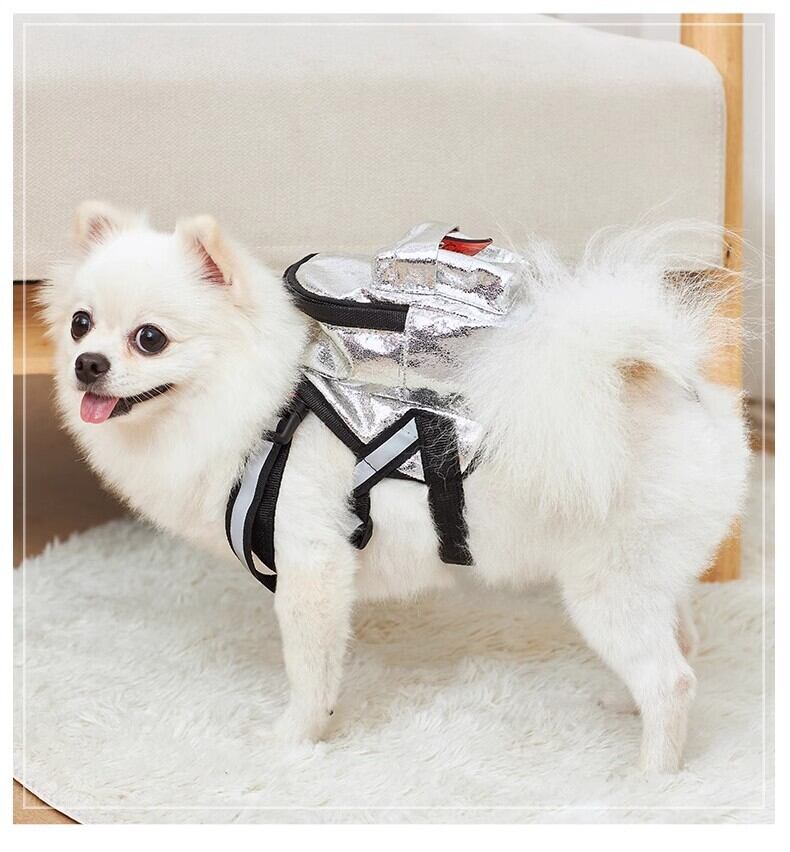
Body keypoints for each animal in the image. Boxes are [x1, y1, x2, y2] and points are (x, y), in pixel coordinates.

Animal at [40, 201, 749, 772]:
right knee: (684, 642)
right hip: (648, 572)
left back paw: (651, 778)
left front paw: (292, 742)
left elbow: (311, 674)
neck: (259, 409)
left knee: (671, 681)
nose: (87, 364)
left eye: (150, 339)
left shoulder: (312, 569)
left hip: (606, 585)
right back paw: (626, 707)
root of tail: (668, 383)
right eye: (80, 324)